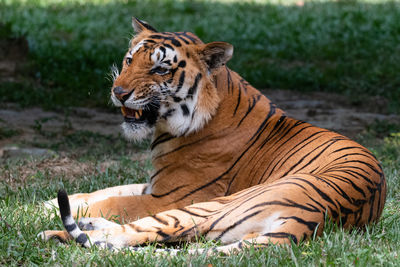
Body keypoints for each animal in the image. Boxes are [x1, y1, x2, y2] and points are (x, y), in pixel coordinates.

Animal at [39, 17, 386, 255]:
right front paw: (45, 203)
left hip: (208, 206)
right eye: (129, 60)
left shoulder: (170, 195)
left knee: (129, 235)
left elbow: (113, 201)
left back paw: (54, 234)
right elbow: (101, 192)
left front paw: (39, 211)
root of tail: (312, 218)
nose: (118, 92)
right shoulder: (154, 183)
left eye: (160, 69)